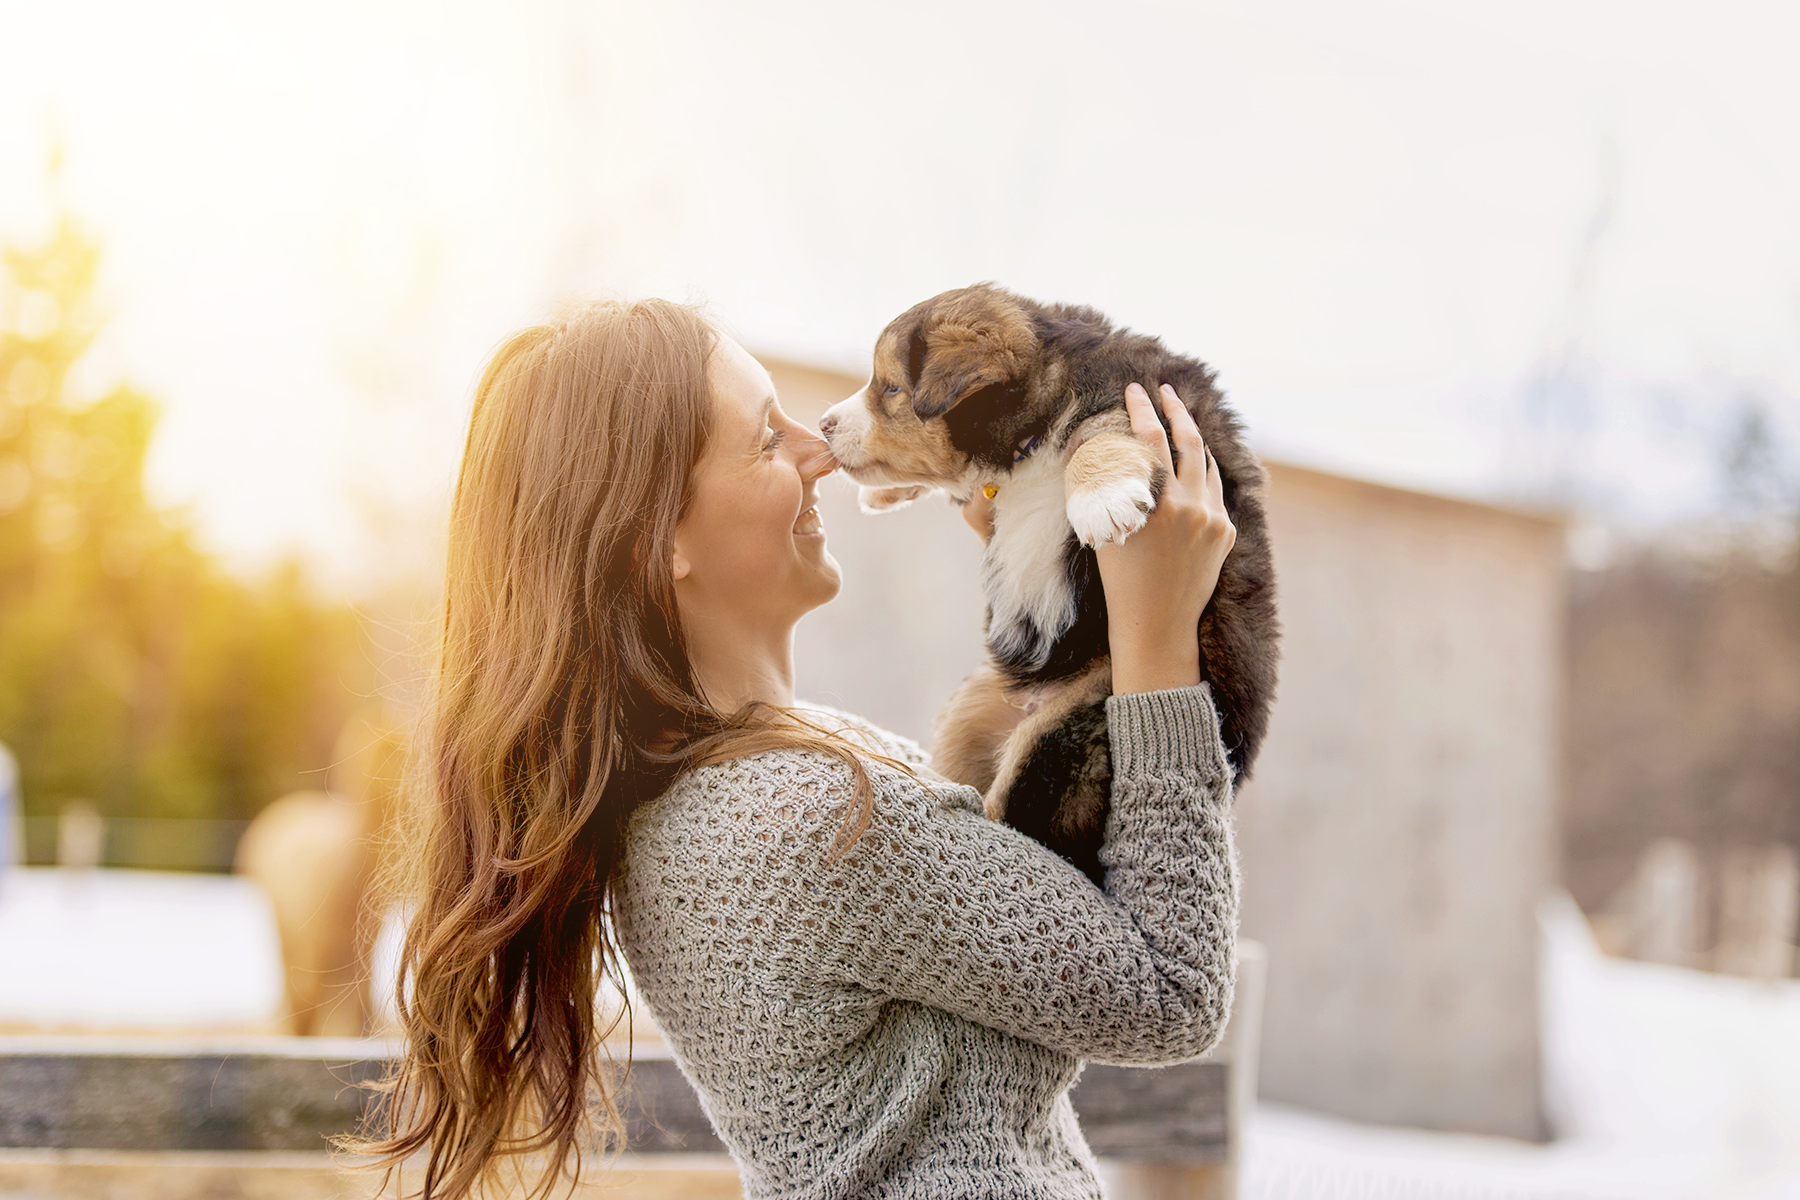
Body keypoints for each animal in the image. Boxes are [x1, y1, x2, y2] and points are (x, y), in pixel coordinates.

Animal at [824, 282, 1274, 881]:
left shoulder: (1151, 408)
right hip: (974, 706)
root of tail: (1031, 703)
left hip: (1076, 722)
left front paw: (1102, 500)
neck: (1033, 433)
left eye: (891, 387)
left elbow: (1100, 433)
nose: (823, 424)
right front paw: (881, 494)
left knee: (1025, 821)